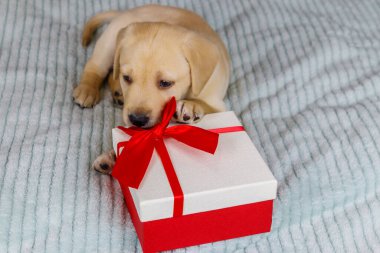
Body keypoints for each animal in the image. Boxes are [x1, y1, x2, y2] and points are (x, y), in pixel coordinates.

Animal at [72, 4, 230, 174]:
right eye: (127, 78)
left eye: (165, 83)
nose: (137, 120)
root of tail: (129, 11)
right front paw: (114, 157)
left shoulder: (217, 104)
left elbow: (206, 105)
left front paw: (190, 105)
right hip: (107, 44)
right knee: (96, 68)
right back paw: (87, 89)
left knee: (111, 73)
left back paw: (118, 93)